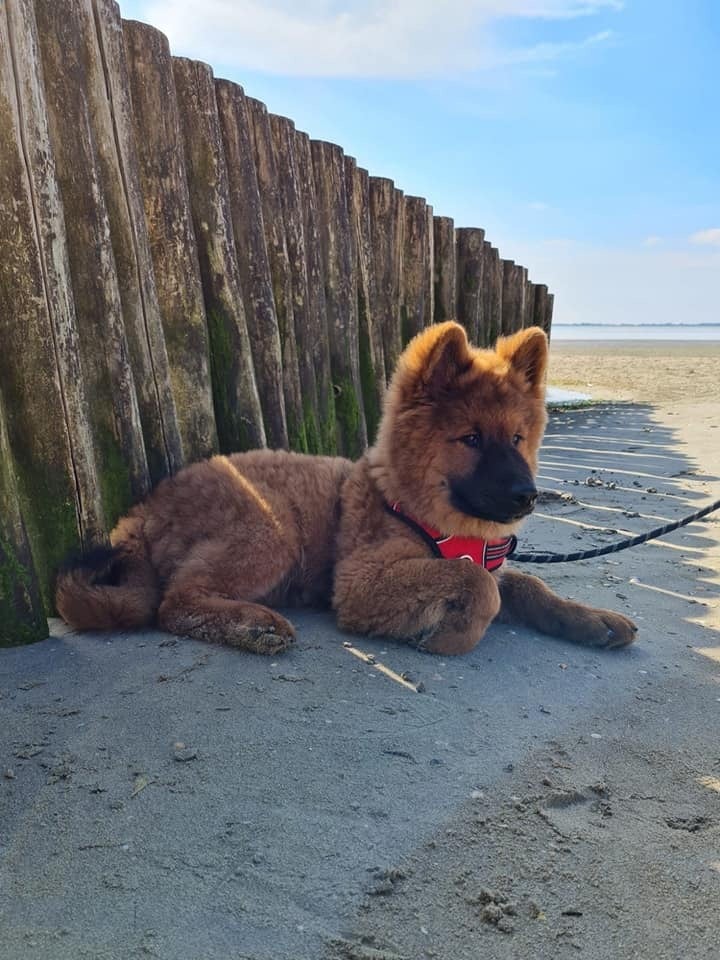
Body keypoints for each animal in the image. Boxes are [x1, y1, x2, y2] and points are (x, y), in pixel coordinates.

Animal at [57, 320, 640, 652]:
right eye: (472, 438)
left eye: (518, 438)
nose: (527, 496)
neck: (418, 506)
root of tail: (139, 513)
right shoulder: (359, 584)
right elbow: (480, 584)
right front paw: (451, 636)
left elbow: (525, 583)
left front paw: (589, 620)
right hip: (271, 528)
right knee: (174, 603)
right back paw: (252, 626)